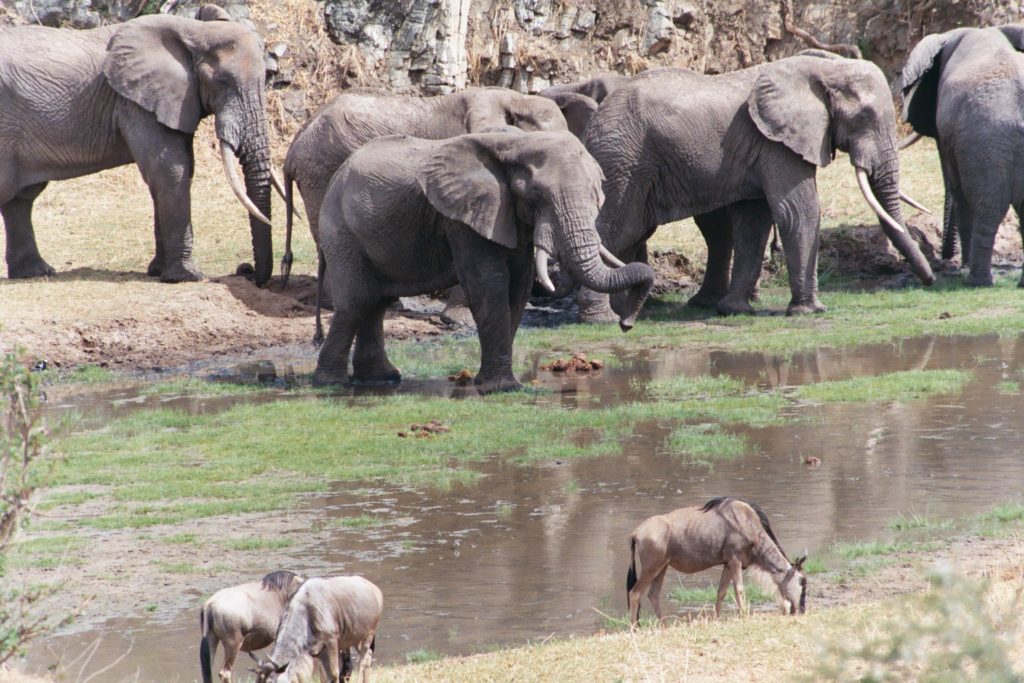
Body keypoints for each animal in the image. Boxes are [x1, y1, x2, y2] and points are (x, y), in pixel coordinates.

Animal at [0, 6, 276, 282]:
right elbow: (170, 170)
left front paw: (158, 272)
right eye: (223, 82)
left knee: (21, 199)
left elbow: (174, 173)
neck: (193, 30)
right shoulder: (134, 103)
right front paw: (187, 276)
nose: (246, 270)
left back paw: (35, 272)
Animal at [311, 131, 659, 395]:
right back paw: (331, 384)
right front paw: (502, 388)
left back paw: (382, 378)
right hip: (341, 231)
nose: (626, 324)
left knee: (376, 301)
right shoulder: (465, 217)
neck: (516, 143)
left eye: (596, 194)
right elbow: (489, 282)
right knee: (356, 301)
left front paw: (493, 384)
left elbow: (518, 285)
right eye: (536, 195)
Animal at [577, 53, 937, 321]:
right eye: (864, 116)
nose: (930, 281)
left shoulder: (759, 147)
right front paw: (811, 311)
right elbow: (797, 211)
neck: (823, 68)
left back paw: (625, 311)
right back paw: (602, 319)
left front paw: (734, 310)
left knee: (631, 234)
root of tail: (593, 124)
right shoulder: (776, 144)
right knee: (616, 229)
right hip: (623, 165)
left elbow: (754, 221)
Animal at [626, 497, 802, 626]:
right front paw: (744, 615)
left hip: (661, 567)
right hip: (651, 569)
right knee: (635, 593)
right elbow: (739, 589)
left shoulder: (728, 564)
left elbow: (721, 592)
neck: (748, 524)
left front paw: (717, 618)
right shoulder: (735, 560)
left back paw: (664, 626)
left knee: (653, 595)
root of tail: (636, 532)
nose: (800, 610)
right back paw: (635, 629)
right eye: (803, 582)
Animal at [901, 25, 1024, 286]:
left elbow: (957, 190)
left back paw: (975, 281)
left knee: (986, 207)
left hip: (984, 143)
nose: (945, 258)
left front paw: (962, 265)